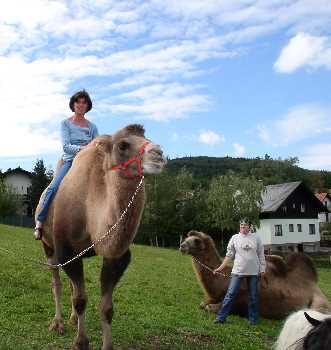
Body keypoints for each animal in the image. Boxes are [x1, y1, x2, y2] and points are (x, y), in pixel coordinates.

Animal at [36, 125, 167, 350]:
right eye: (123, 145)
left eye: (147, 137)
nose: (158, 154)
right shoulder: (66, 250)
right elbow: (81, 299)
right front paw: (80, 342)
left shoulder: (116, 256)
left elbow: (106, 307)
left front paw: (106, 344)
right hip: (48, 245)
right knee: (57, 284)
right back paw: (58, 323)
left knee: (71, 287)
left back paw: (72, 319)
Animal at [180, 231, 331, 318]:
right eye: (187, 237)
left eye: (196, 241)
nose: (182, 246)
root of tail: (315, 286)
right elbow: (203, 304)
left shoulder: (240, 300)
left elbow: (211, 308)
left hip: (320, 303)